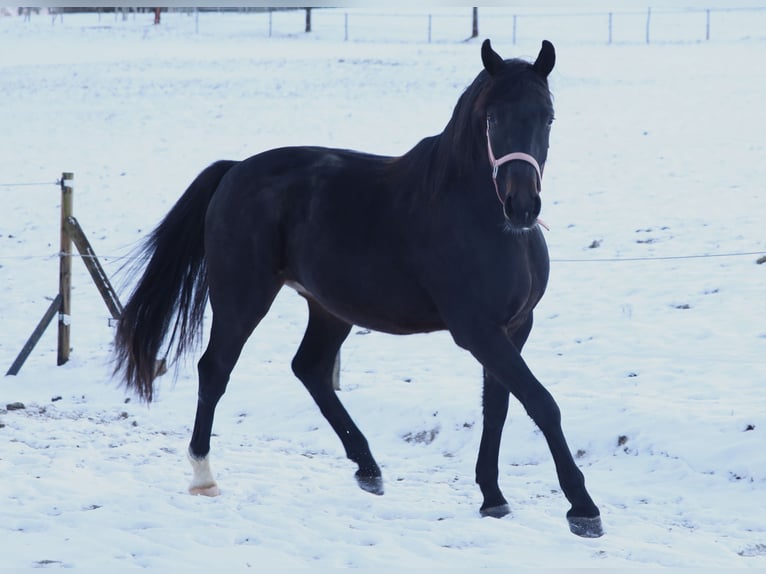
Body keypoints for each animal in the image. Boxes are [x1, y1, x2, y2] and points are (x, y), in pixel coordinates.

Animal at [113, 39, 603, 538]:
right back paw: (203, 476)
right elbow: (541, 403)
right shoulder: (478, 331)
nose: (522, 205)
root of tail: (234, 172)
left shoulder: (515, 327)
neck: (480, 218)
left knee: (309, 368)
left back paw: (368, 468)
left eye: (547, 117)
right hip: (242, 298)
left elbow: (499, 407)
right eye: (493, 119)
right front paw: (582, 508)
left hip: (329, 307)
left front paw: (493, 496)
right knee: (215, 370)